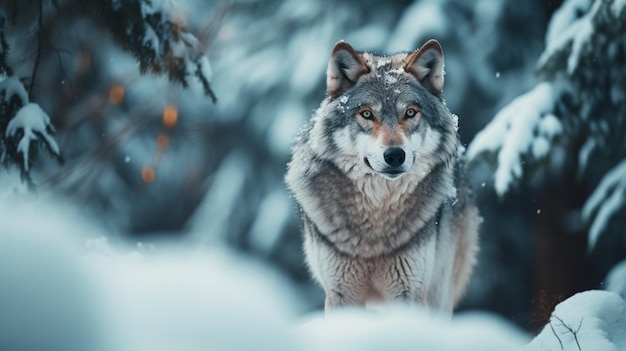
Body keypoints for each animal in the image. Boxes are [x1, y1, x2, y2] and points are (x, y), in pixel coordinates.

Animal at [286, 40, 480, 314]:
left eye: (410, 113)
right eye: (367, 114)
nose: (395, 155)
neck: (377, 213)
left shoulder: (408, 293)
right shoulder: (341, 294)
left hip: (439, 293)